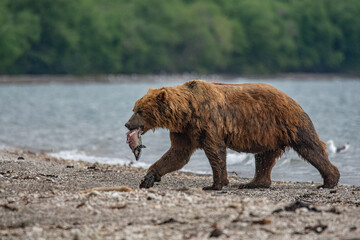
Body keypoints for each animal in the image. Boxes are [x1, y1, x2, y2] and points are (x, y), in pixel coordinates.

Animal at [125, 80, 338, 189]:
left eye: (140, 110)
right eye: (134, 108)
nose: (127, 124)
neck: (187, 112)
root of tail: (291, 99)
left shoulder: (208, 121)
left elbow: (215, 151)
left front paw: (216, 184)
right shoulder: (184, 130)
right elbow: (178, 154)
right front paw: (148, 178)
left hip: (286, 122)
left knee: (310, 147)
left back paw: (329, 180)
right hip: (268, 135)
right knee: (264, 157)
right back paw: (253, 183)